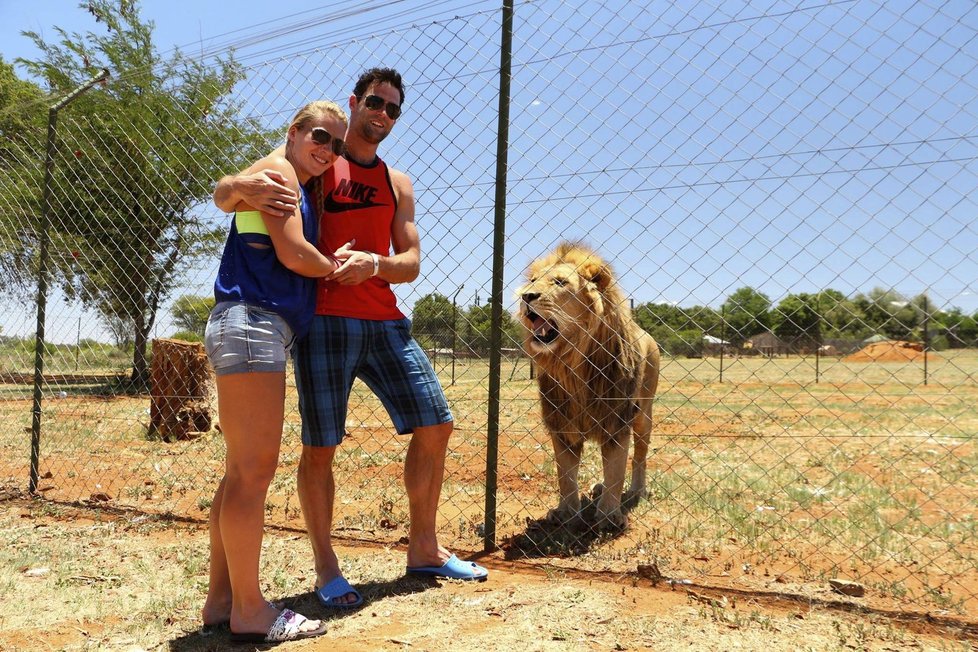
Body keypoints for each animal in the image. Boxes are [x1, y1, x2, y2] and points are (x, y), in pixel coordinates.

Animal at [516, 241, 660, 528]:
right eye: (534, 281)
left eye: (560, 282)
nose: (526, 296)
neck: (573, 365)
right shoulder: (561, 423)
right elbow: (566, 475)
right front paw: (566, 513)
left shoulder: (617, 421)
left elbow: (616, 469)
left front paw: (609, 517)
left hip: (643, 414)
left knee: (639, 455)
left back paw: (637, 491)